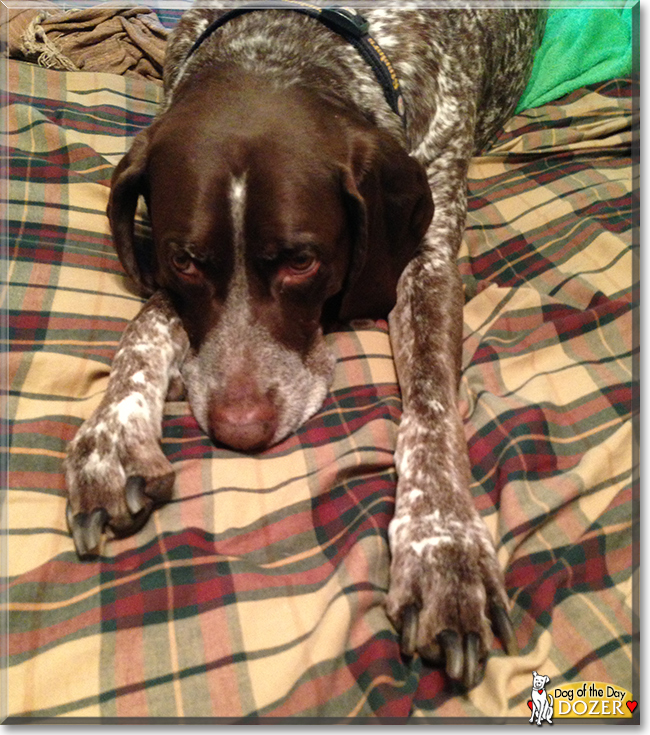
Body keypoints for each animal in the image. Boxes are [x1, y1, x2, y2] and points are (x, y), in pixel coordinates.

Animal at [66, 1, 544, 688]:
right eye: (184, 260)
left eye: (301, 261)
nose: (239, 430)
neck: (286, 46)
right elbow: (144, 327)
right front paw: (112, 436)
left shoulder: (427, 256)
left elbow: (430, 409)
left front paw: (441, 545)